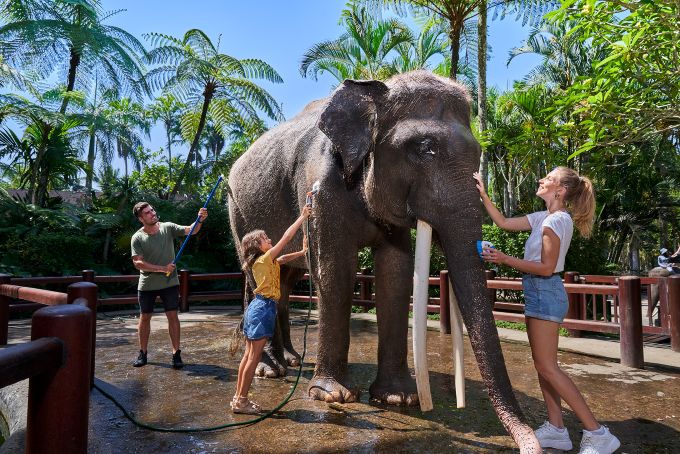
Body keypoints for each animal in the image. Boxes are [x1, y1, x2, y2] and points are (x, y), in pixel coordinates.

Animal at [228, 71, 540, 452]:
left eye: (479, 153)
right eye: (424, 149)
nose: (529, 443)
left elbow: (395, 272)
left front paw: (397, 399)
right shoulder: (321, 186)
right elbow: (335, 270)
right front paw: (332, 396)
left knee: (283, 282)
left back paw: (291, 360)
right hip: (239, 212)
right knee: (256, 274)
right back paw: (270, 370)